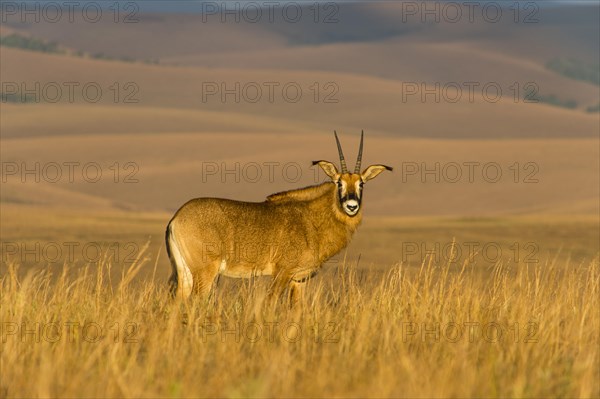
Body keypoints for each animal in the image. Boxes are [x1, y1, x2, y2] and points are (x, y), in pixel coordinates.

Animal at [165, 132, 390, 304]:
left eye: (361, 184)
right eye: (339, 183)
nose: (351, 206)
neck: (311, 219)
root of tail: (176, 219)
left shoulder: (299, 279)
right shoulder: (282, 273)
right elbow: (271, 304)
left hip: (185, 274)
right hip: (205, 273)